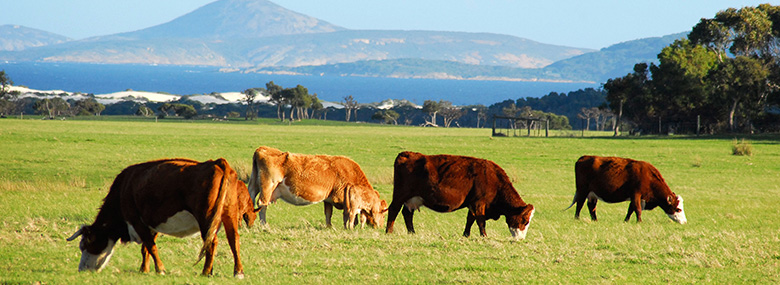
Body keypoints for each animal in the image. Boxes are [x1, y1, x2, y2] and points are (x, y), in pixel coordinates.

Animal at [65, 156, 258, 276]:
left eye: (86, 244)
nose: (81, 269)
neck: (123, 189)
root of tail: (218, 163)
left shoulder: (136, 220)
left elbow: (151, 247)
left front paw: (160, 269)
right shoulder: (151, 223)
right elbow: (146, 248)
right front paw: (144, 269)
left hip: (206, 218)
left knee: (211, 243)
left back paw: (205, 272)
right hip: (228, 215)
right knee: (234, 241)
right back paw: (238, 271)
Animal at [247, 145, 386, 230]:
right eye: (384, 214)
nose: (380, 227)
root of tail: (263, 149)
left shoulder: (328, 199)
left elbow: (328, 213)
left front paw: (329, 227)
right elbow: (349, 215)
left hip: (254, 185)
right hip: (268, 186)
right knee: (262, 204)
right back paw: (264, 225)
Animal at [386, 151, 536, 240]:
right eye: (525, 220)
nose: (521, 239)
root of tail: (407, 154)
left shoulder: (472, 204)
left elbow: (470, 219)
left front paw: (466, 235)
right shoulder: (478, 203)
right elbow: (480, 221)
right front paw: (484, 236)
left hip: (412, 199)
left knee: (407, 214)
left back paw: (412, 232)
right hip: (400, 195)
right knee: (394, 210)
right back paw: (389, 232)